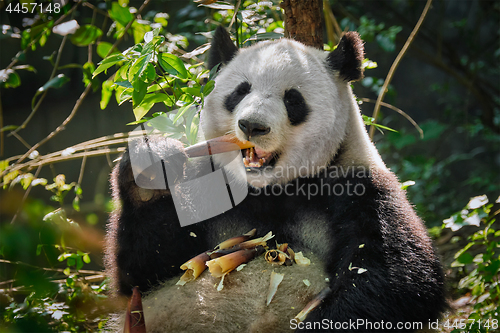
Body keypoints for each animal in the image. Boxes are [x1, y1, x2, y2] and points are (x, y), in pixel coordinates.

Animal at [106, 26, 446, 332]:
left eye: (293, 99)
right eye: (240, 91)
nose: (252, 126)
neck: (267, 188)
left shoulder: (359, 188)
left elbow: (395, 278)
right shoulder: (210, 185)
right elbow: (145, 274)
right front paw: (153, 165)